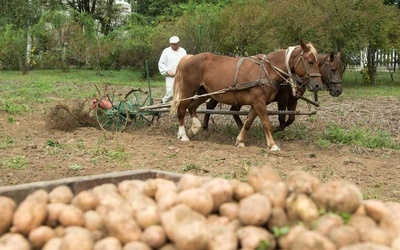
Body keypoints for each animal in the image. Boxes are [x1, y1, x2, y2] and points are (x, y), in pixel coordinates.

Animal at [170, 40, 324, 150]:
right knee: (182, 109)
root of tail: (188, 58)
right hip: (188, 90)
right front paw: (273, 145)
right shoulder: (259, 102)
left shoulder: (256, 103)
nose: (318, 85)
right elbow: (266, 122)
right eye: (310, 62)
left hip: (204, 92)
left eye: (318, 62)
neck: (267, 70)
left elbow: (248, 122)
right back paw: (183, 135)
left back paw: (194, 129)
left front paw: (240, 141)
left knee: (192, 107)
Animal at [203, 52, 344, 131]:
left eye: (341, 68)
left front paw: (282, 128)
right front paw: (278, 129)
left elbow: (291, 118)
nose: (338, 90)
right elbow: (281, 116)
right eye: (333, 69)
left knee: (225, 108)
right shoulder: (282, 98)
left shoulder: (293, 100)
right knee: (215, 107)